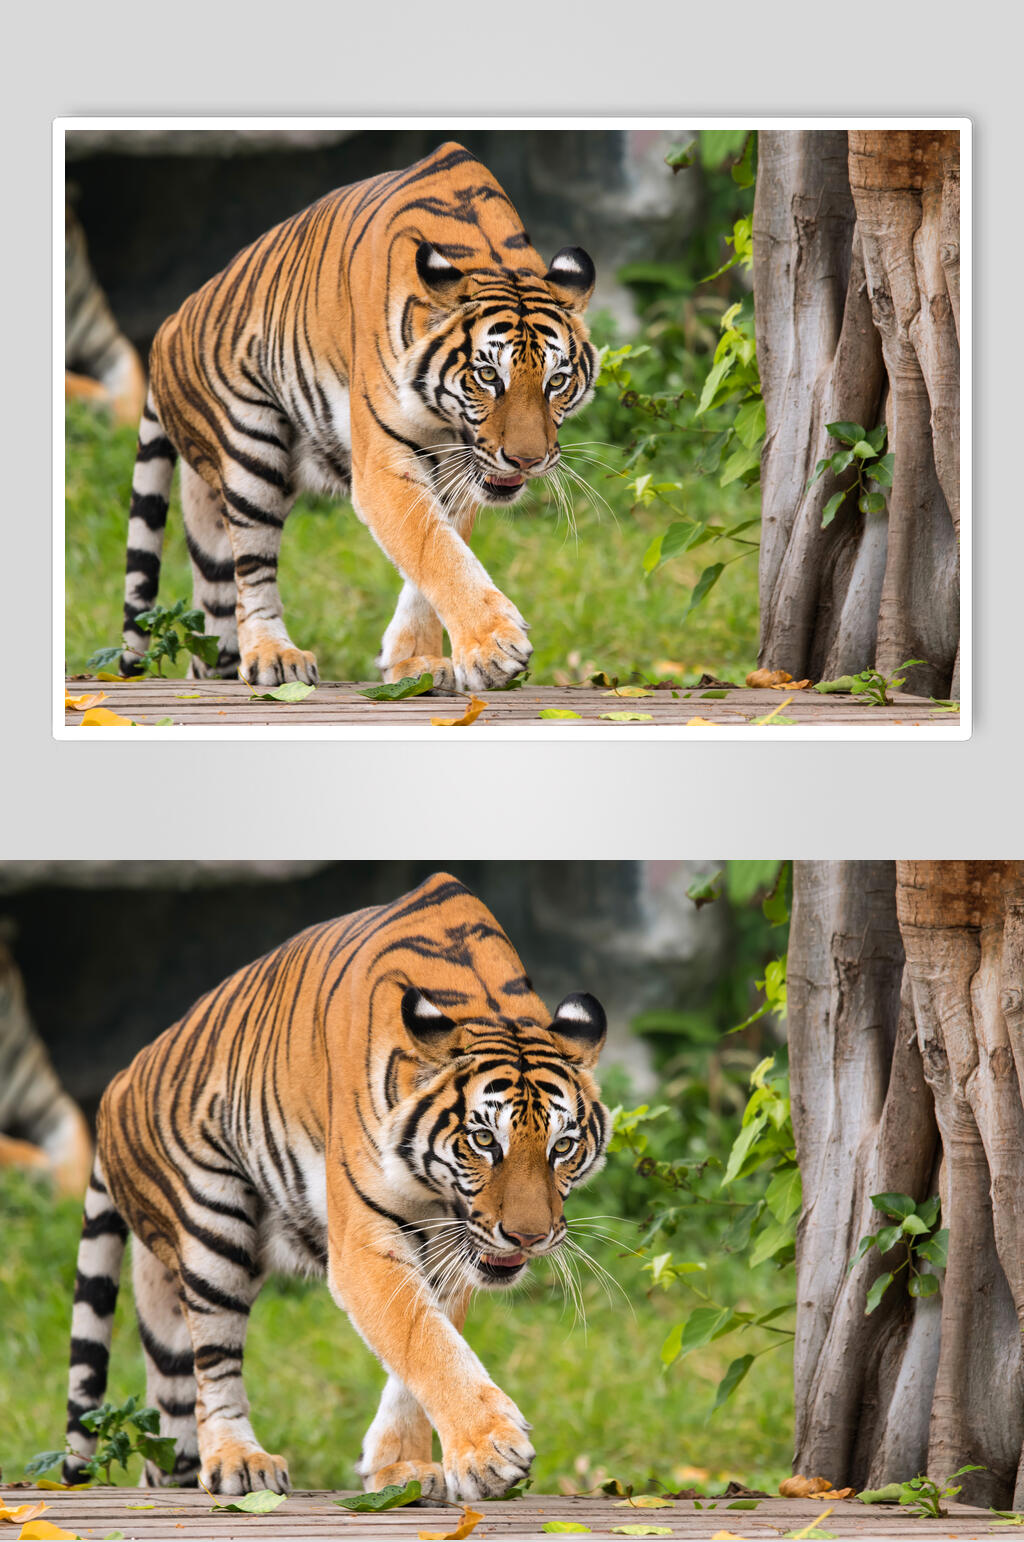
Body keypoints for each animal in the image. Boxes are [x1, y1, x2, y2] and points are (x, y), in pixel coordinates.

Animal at [63, 872, 610, 1502]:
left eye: (562, 1146)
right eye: (482, 1141)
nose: (529, 1238)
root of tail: (116, 1086)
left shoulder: (453, 1251)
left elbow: (429, 1343)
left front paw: (403, 1465)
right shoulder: (364, 1245)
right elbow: (424, 1340)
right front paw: (490, 1449)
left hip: (163, 1302)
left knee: (171, 1421)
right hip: (212, 1232)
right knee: (214, 1369)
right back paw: (238, 1460)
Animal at [117, 141, 597, 691]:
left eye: (556, 381)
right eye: (487, 376)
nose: (527, 461)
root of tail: (167, 327)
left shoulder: (460, 473)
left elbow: (439, 552)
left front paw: (415, 659)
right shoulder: (383, 466)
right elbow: (435, 549)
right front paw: (493, 646)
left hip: (207, 519)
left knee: (214, 619)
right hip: (250, 455)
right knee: (252, 575)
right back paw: (273, 655)